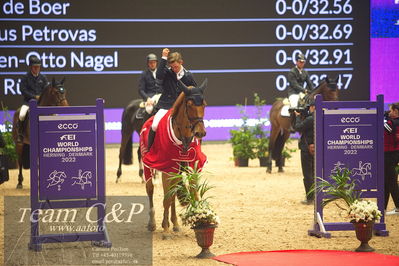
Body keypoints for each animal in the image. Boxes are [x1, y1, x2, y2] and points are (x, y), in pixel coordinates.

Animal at [140, 79, 208, 237]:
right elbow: (166, 198)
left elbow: (192, 194)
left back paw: (175, 224)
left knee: (173, 193)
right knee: (150, 189)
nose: (200, 132)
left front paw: (199, 218)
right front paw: (165, 230)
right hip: (148, 164)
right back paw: (152, 223)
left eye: (204, 104)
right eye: (189, 105)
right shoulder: (167, 168)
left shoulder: (191, 166)